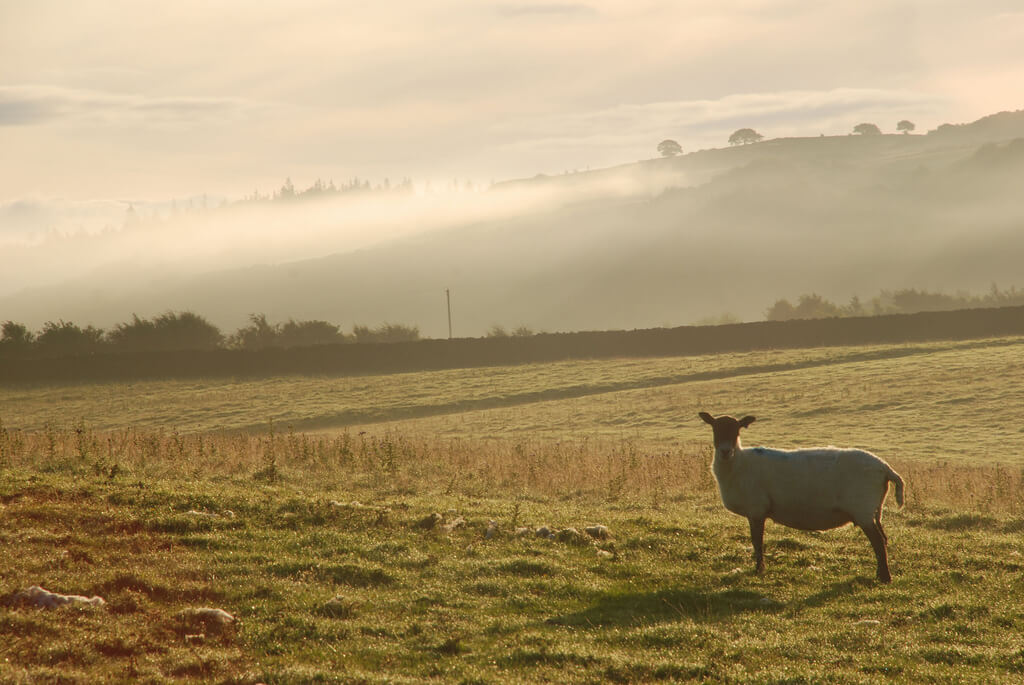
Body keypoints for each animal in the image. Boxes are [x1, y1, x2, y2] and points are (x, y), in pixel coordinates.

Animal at [696, 411, 905, 581]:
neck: (738, 464)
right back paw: (880, 573)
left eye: (737, 430)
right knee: (883, 539)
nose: (725, 451)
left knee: (878, 542)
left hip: (862, 507)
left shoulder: (756, 509)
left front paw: (759, 570)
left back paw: (885, 578)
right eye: (715, 428)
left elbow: (757, 542)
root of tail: (885, 468)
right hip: (874, 510)